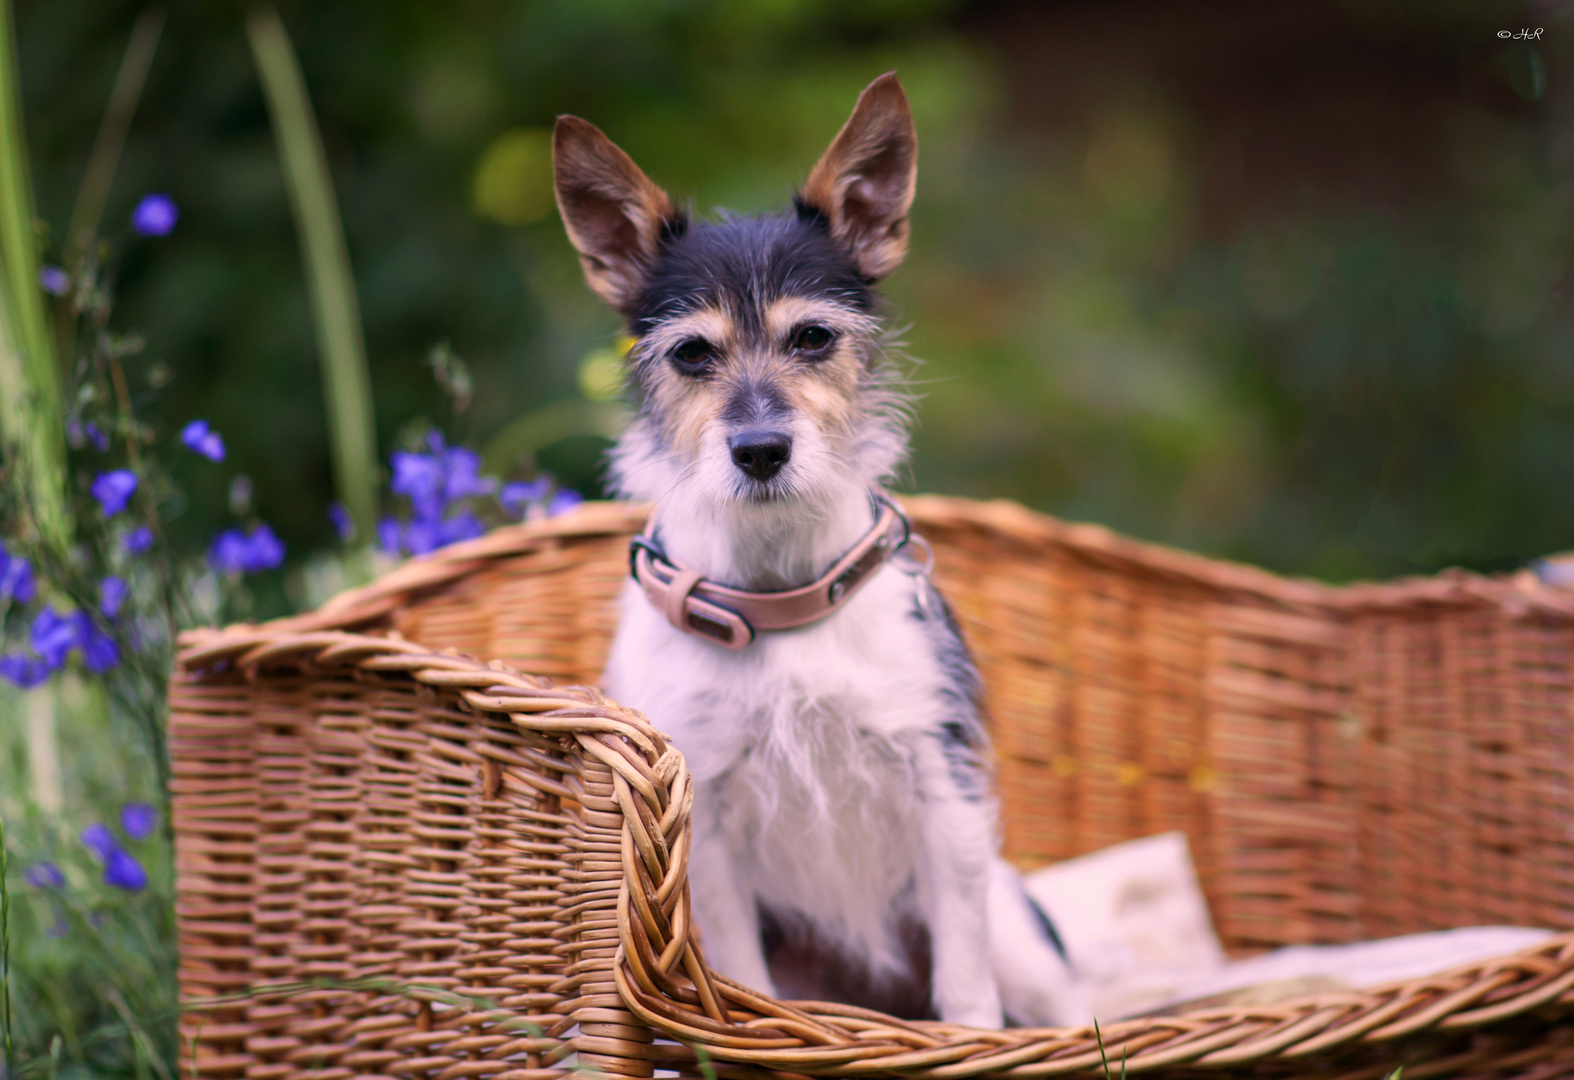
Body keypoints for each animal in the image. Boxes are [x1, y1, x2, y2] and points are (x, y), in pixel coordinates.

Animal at [550, 76, 1082, 1032]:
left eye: (812, 338)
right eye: (692, 352)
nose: (760, 449)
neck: (779, 598)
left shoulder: (943, 788)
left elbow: (967, 989)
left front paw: (971, 1039)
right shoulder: (709, 828)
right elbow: (742, 978)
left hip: (1023, 940)